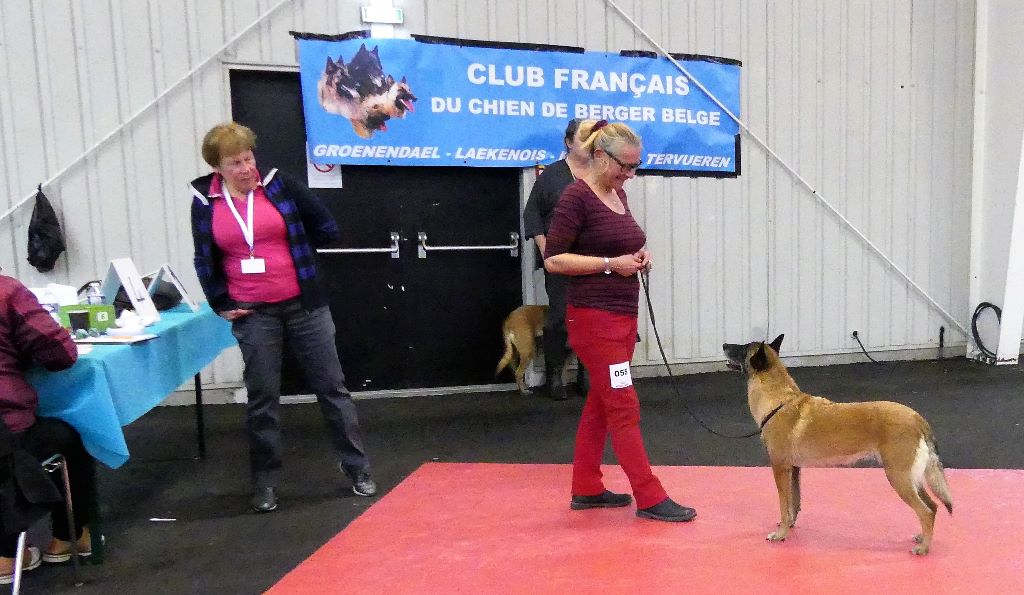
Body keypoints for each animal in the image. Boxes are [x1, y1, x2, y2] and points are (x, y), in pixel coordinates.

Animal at [722, 334, 953, 555]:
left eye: (743, 347)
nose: (724, 345)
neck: (780, 402)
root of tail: (917, 417)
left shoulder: (780, 468)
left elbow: (783, 504)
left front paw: (781, 534)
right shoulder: (794, 470)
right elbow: (793, 504)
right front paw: (790, 526)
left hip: (899, 478)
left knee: (925, 511)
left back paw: (923, 549)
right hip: (911, 478)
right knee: (933, 507)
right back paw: (922, 538)